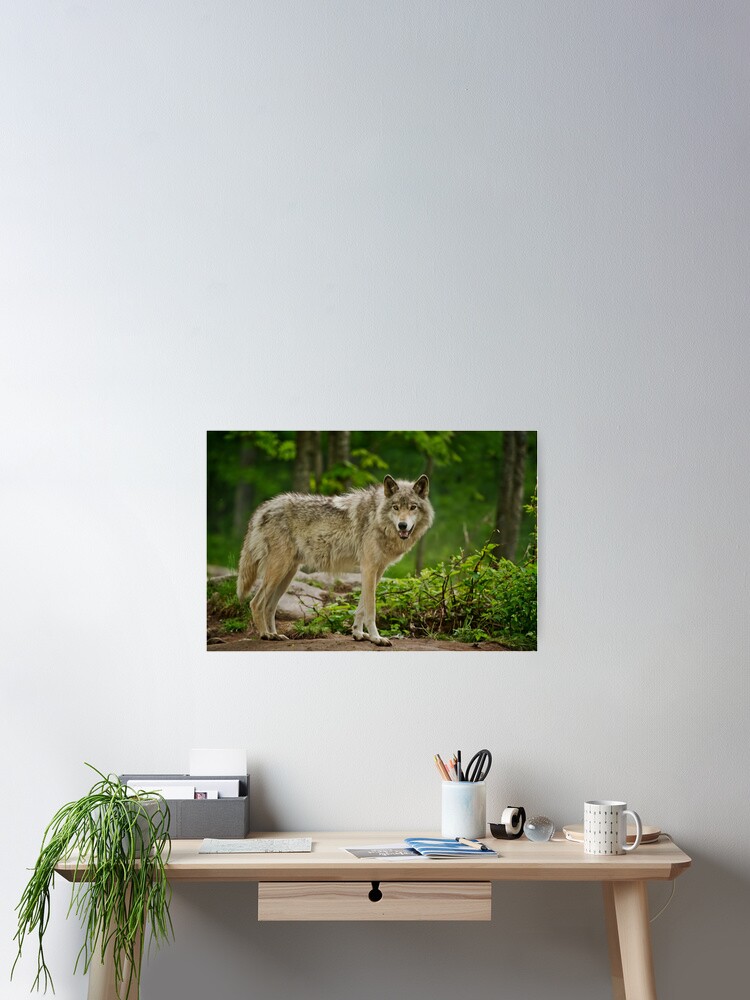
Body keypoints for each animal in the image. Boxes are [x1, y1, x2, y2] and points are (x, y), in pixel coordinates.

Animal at [236, 475, 434, 646]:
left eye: (413, 507)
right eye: (395, 507)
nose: (402, 525)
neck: (377, 517)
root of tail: (264, 507)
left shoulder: (377, 571)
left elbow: (361, 607)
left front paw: (358, 634)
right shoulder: (369, 568)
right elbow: (371, 609)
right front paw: (376, 638)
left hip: (287, 575)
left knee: (269, 606)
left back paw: (275, 635)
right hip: (278, 571)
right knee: (256, 603)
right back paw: (265, 635)